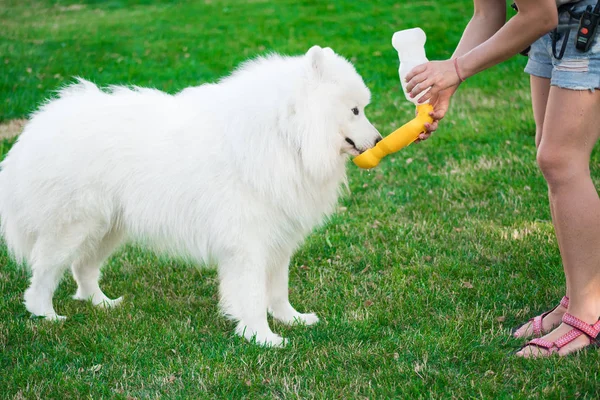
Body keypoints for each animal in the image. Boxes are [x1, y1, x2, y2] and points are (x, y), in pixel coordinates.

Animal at [0, 46, 382, 346]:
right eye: (354, 110)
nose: (379, 140)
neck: (285, 136)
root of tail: (39, 124)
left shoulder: (278, 239)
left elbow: (278, 290)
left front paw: (292, 319)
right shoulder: (247, 243)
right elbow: (253, 295)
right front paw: (262, 337)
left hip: (107, 228)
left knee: (83, 269)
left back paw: (102, 303)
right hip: (72, 227)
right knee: (44, 275)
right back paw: (46, 316)